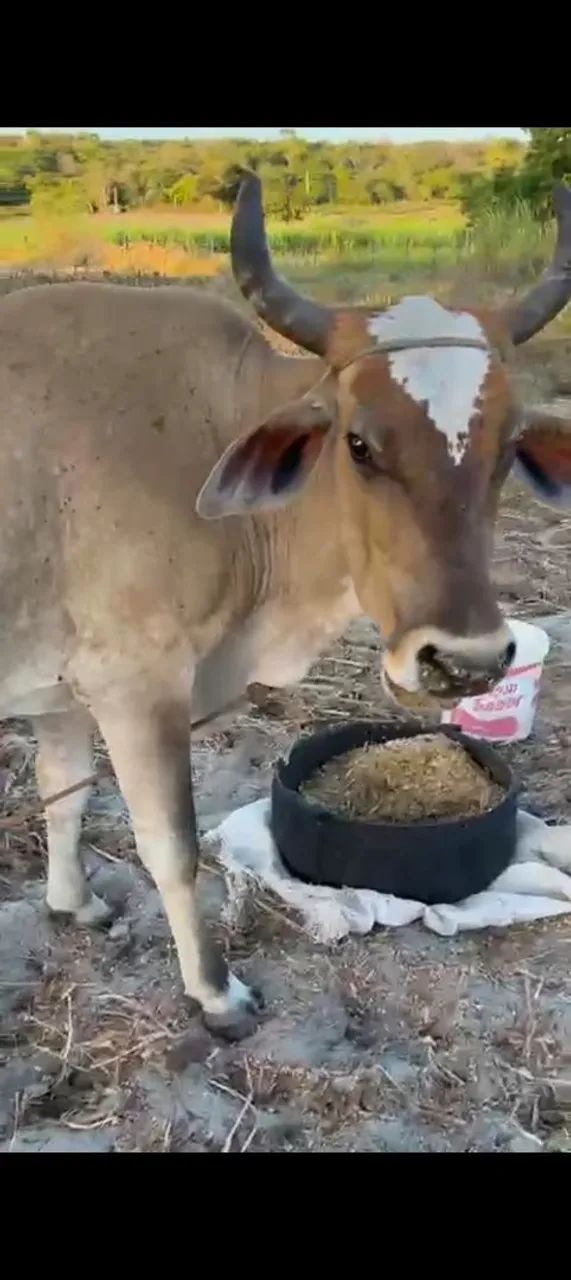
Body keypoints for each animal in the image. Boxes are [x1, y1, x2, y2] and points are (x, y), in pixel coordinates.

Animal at [1, 172, 570, 1039]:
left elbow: (63, 794)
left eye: (506, 448)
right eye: (359, 443)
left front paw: (74, 904)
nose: (465, 662)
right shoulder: (135, 683)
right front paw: (215, 992)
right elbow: (172, 846)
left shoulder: (61, 688)